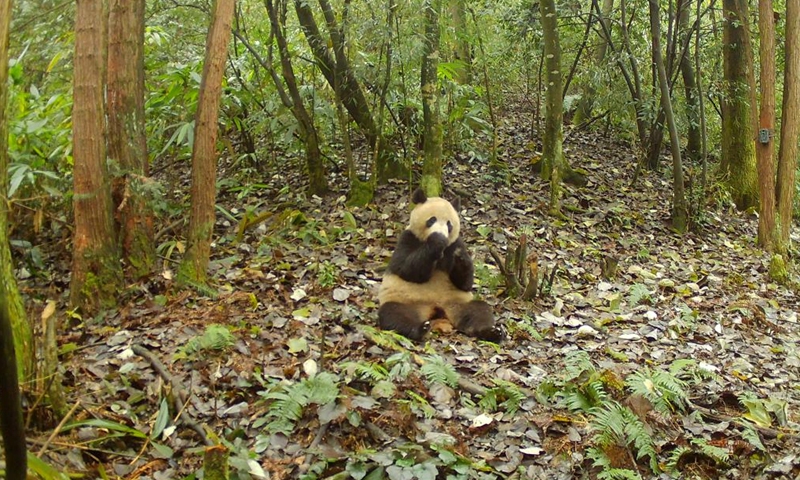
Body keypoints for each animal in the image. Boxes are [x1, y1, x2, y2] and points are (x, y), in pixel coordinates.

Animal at [377, 188, 503, 342]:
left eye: (449, 224)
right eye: (432, 220)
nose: (442, 233)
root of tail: (436, 309)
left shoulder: (455, 244)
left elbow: (465, 283)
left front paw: (460, 258)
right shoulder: (407, 239)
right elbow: (407, 270)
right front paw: (437, 240)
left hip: (457, 302)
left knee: (478, 310)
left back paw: (491, 331)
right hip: (406, 300)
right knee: (395, 315)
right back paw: (420, 329)